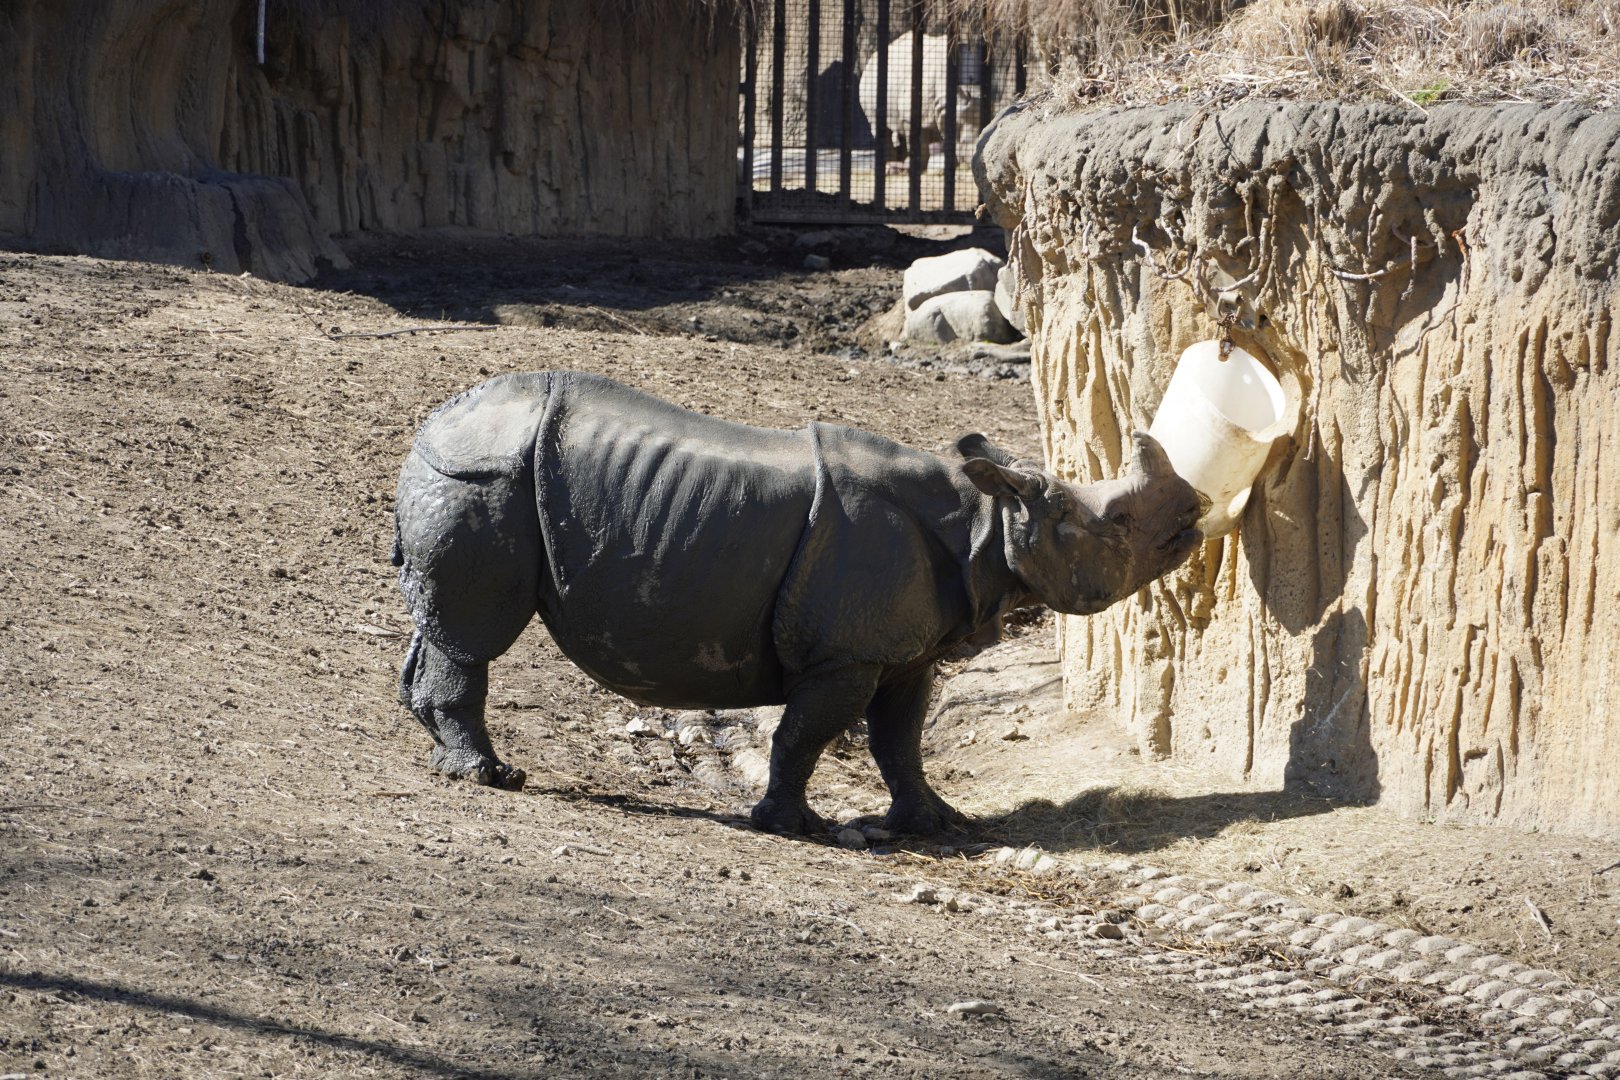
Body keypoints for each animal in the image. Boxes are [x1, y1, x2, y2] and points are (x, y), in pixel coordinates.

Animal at [393, 371, 1202, 835]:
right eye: (1115, 523)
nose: (1193, 517)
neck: (987, 519)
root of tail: (434, 420)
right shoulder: (846, 655)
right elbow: (807, 734)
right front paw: (794, 825)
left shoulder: (904, 652)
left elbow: (900, 740)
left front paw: (939, 825)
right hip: (485, 474)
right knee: (475, 632)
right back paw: (490, 777)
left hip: (477, 471)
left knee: (438, 625)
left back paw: (450, 762)